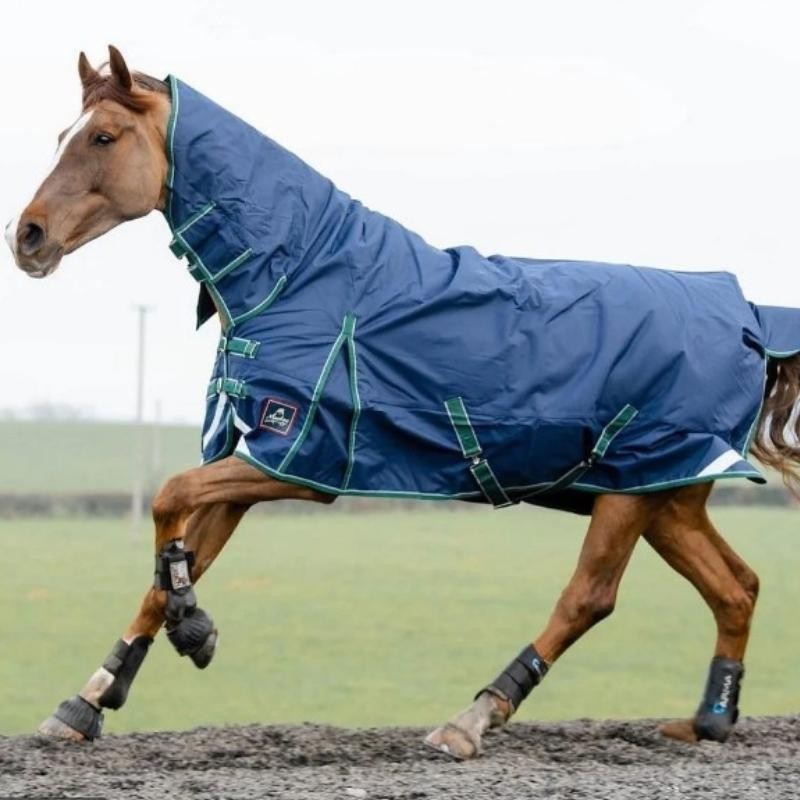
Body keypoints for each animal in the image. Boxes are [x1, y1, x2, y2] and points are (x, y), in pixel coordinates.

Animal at [6, 46, 800, 760]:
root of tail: (747, 314)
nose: (28, 237)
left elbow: (169, 498)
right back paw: (708, 720)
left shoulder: (299, 459)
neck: (301, 272)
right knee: (737, 587)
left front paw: (192, 627)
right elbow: (180, 550)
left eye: (103, 137)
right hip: (666, 490)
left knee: (590, 596)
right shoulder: (255, 456)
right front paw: (88, 700)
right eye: (63, 134)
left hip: (633, 486)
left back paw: (473, 719)